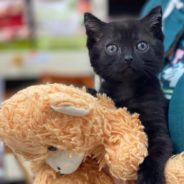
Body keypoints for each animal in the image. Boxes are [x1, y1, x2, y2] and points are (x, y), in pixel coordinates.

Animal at [84, 5, 173, 184]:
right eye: (112, 48)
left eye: (142, 46)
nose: (128, 58)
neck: (127, 88)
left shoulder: (158, 123)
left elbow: (158, 150)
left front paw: (150, 177)